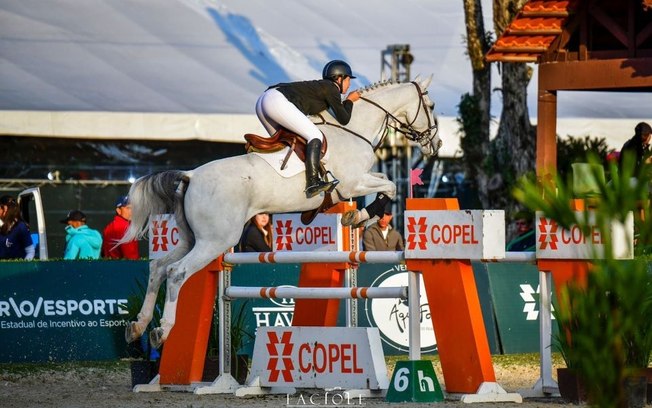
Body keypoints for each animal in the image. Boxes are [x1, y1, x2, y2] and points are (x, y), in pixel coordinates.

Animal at [123, 75, 444, 346]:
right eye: (431, 106)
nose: (436, 144)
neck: (355, 128)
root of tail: (190, 176)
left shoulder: (359, 181)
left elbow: (385, 182)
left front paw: (356, 217)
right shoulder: (352, 183)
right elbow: (390, 186)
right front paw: (361, 216)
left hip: (193, 238)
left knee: (158, 267)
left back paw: (138, 326)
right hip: (216, 240)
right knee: (176, 272)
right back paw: (162, 331)